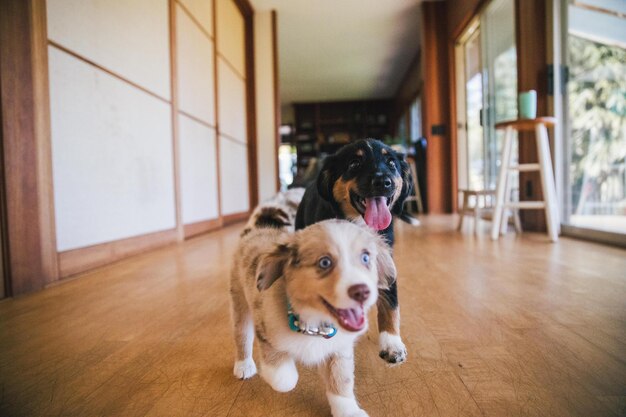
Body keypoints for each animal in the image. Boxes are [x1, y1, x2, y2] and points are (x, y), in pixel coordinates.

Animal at [229, 219, 394, 414]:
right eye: (325, 262)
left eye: (366, 258)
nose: (362, 291)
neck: (314, 323)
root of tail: (256, 232)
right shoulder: (263, 327)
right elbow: (284, 379)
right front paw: (283, 372)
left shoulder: (339, 350)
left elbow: (342, 381)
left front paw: (348, 411)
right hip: (240, 304)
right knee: (242, 336)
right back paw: (244, 365)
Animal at [294, 138, 412, 362]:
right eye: (354, 164)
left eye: (392, 163)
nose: (383, 182)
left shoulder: (386, 264)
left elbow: (391, 305)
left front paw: (392, 344)